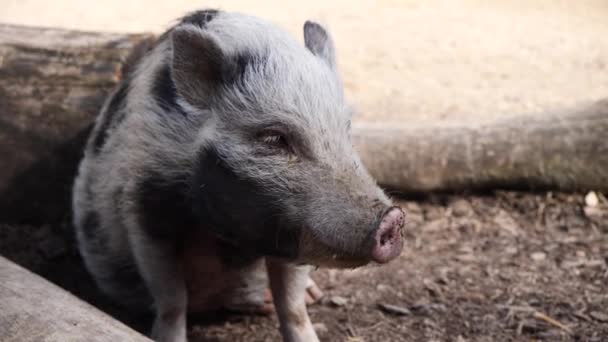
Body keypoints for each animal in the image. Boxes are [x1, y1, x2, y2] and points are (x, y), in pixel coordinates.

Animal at [72, 9, 404, 342]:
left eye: (346, 130)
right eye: (274, 138)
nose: (393, 218)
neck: (223, 237)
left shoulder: (295, 228)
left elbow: (293, 303)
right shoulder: (144, 207)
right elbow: (172, 299)